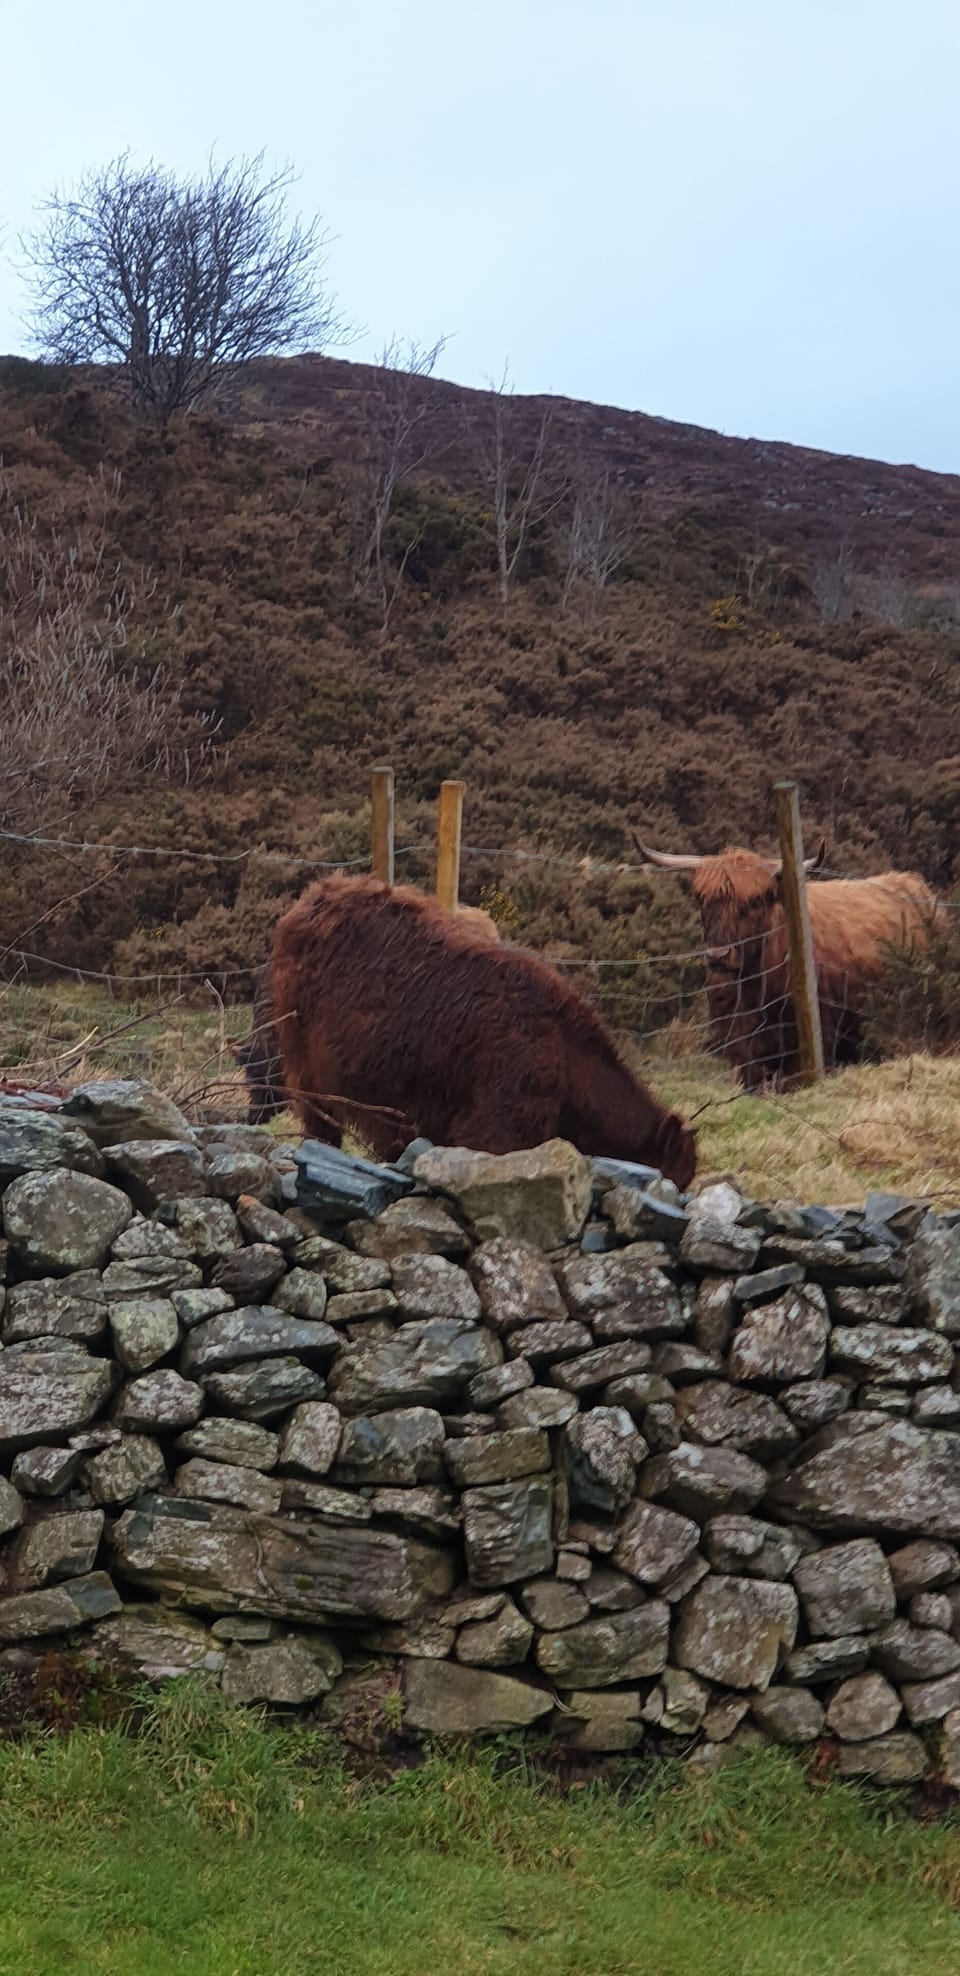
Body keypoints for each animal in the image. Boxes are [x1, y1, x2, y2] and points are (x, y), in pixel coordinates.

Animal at [269, 873, 697, 1185]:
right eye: (672, 1178)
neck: (568, 1056)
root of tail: (318, 892)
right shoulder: (498, 1126)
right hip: (307, 1065)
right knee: (319, 1122)